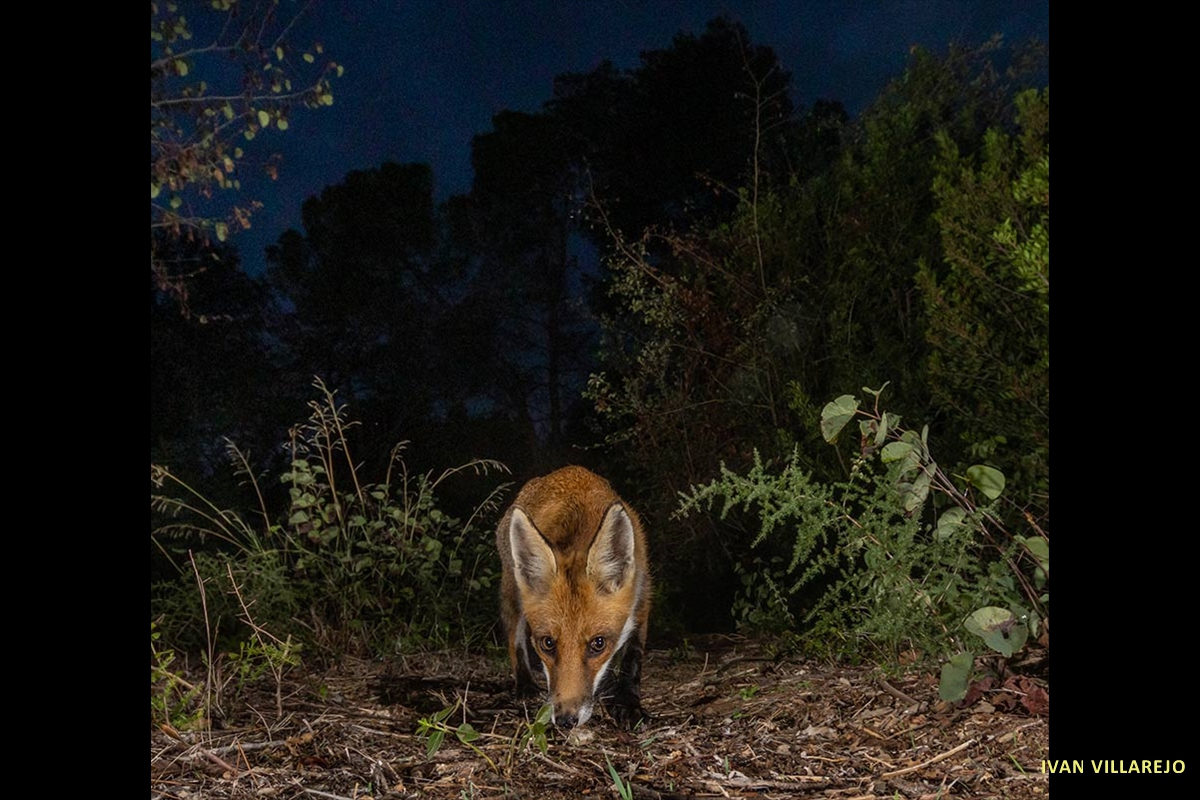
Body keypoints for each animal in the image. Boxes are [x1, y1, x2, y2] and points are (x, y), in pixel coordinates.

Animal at [496, 466, 651, 729]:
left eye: (598, 644)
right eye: (547, 643)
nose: (565, 720)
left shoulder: (642, 595)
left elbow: (633, 656)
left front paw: (628, 702)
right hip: (513, 589)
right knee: (513, 637)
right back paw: (525, 684)